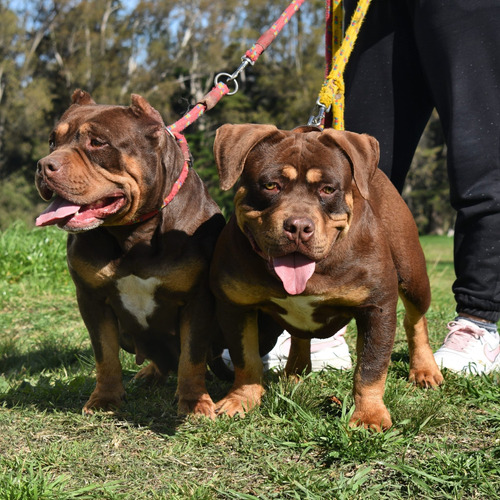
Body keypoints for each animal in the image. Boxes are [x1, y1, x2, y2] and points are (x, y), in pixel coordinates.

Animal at [36, 91, 227, 418]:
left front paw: (194, 401)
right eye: (52, 141)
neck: (133, 232)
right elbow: (105, 354)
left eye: (97, 142)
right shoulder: (92, 299)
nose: (43, 165)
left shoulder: (198, 300)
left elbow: (192, 355)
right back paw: (149, 373)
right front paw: (105, 398)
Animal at [209, 124, 444, 430]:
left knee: (415, 319)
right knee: (299, 337)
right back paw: (295, 372)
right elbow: (245, 359)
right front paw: (241, 399)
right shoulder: (236, 307)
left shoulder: (376, 308)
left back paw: (425, 369)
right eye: (270, 185)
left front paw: (369, 415)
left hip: (412, 275)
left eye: (328, 189)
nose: (298, 226)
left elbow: (370, 367)